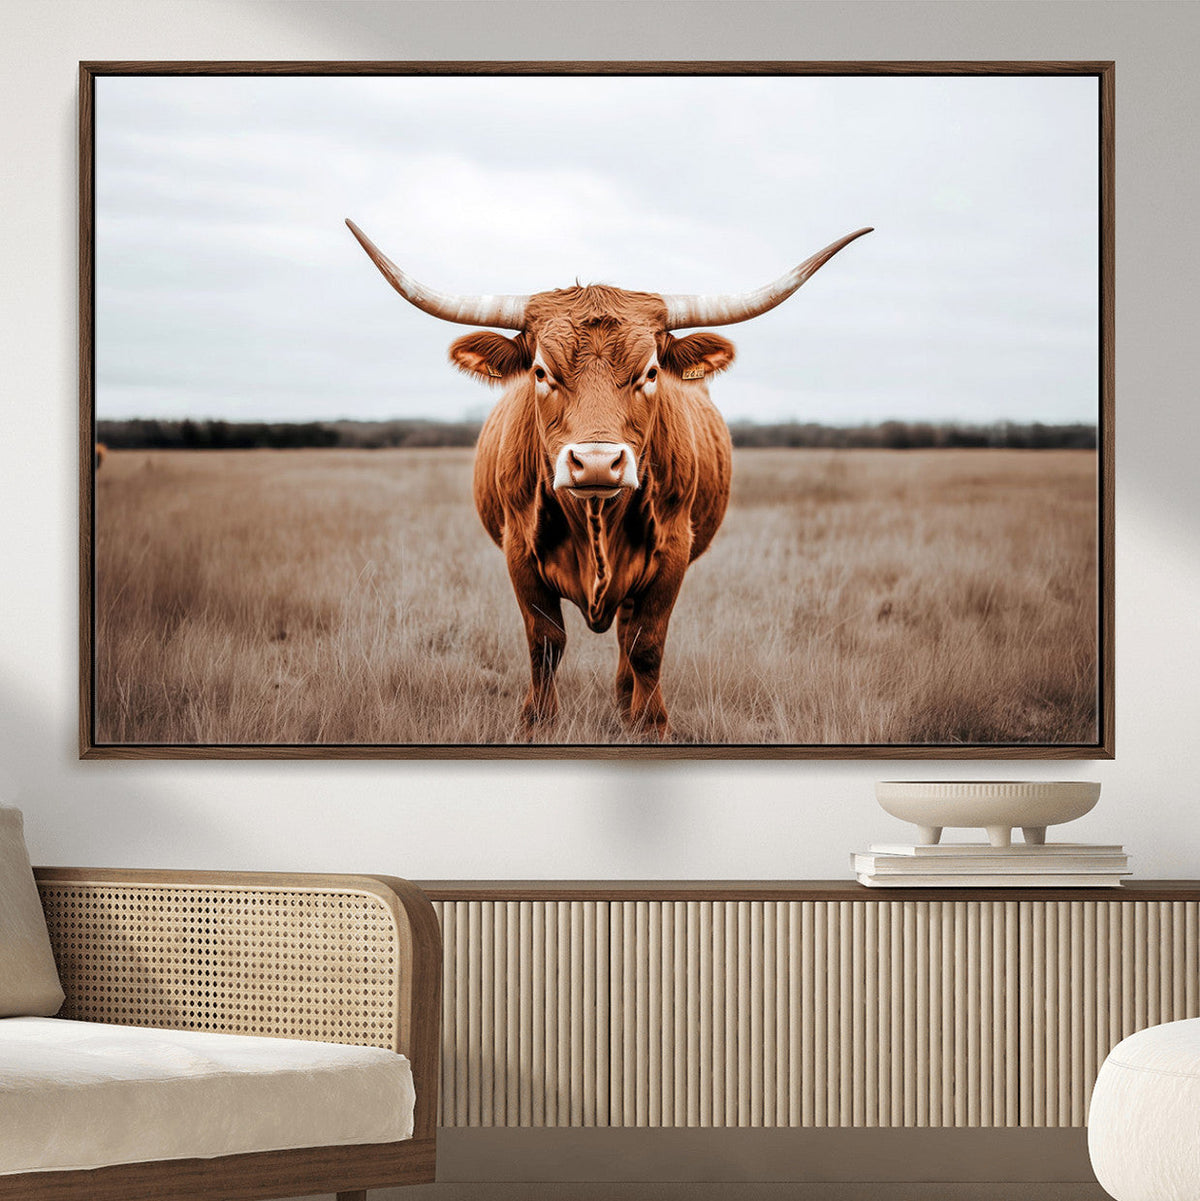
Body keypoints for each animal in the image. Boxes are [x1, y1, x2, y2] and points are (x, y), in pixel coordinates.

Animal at [347, 220, 871, 738]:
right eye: (541, 371)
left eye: (651, 372)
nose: (597, 462)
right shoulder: (519, 550)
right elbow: (546, 642)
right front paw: (538, 723)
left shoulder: (673, 552)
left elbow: (646, 644)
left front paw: (650, 724)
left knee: (626, 634)